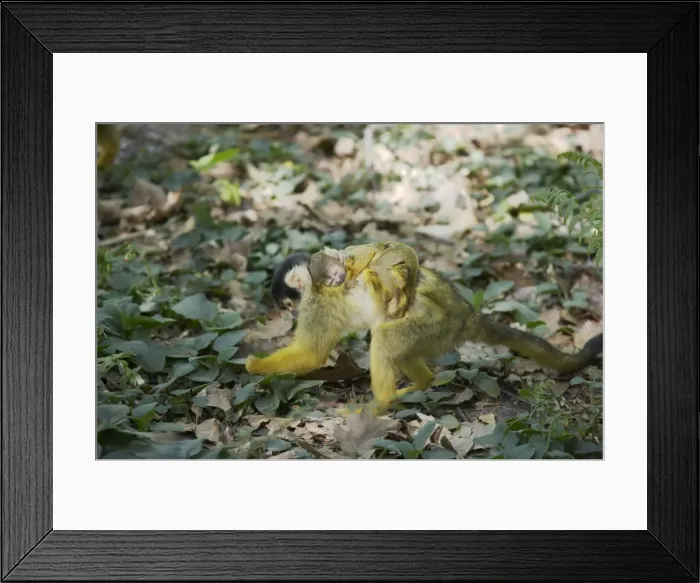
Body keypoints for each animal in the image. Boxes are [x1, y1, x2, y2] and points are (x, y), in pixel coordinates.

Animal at [250, 244, 602, 414]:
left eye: (288, 304)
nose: (291, 313)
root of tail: (466, 314)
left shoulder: (318, 301)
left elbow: (311, 354)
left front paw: (254, 365)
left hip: (435, 325)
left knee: (385, 337)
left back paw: (382, 402)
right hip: (434, 333)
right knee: (394, 341)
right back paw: (419, 385)